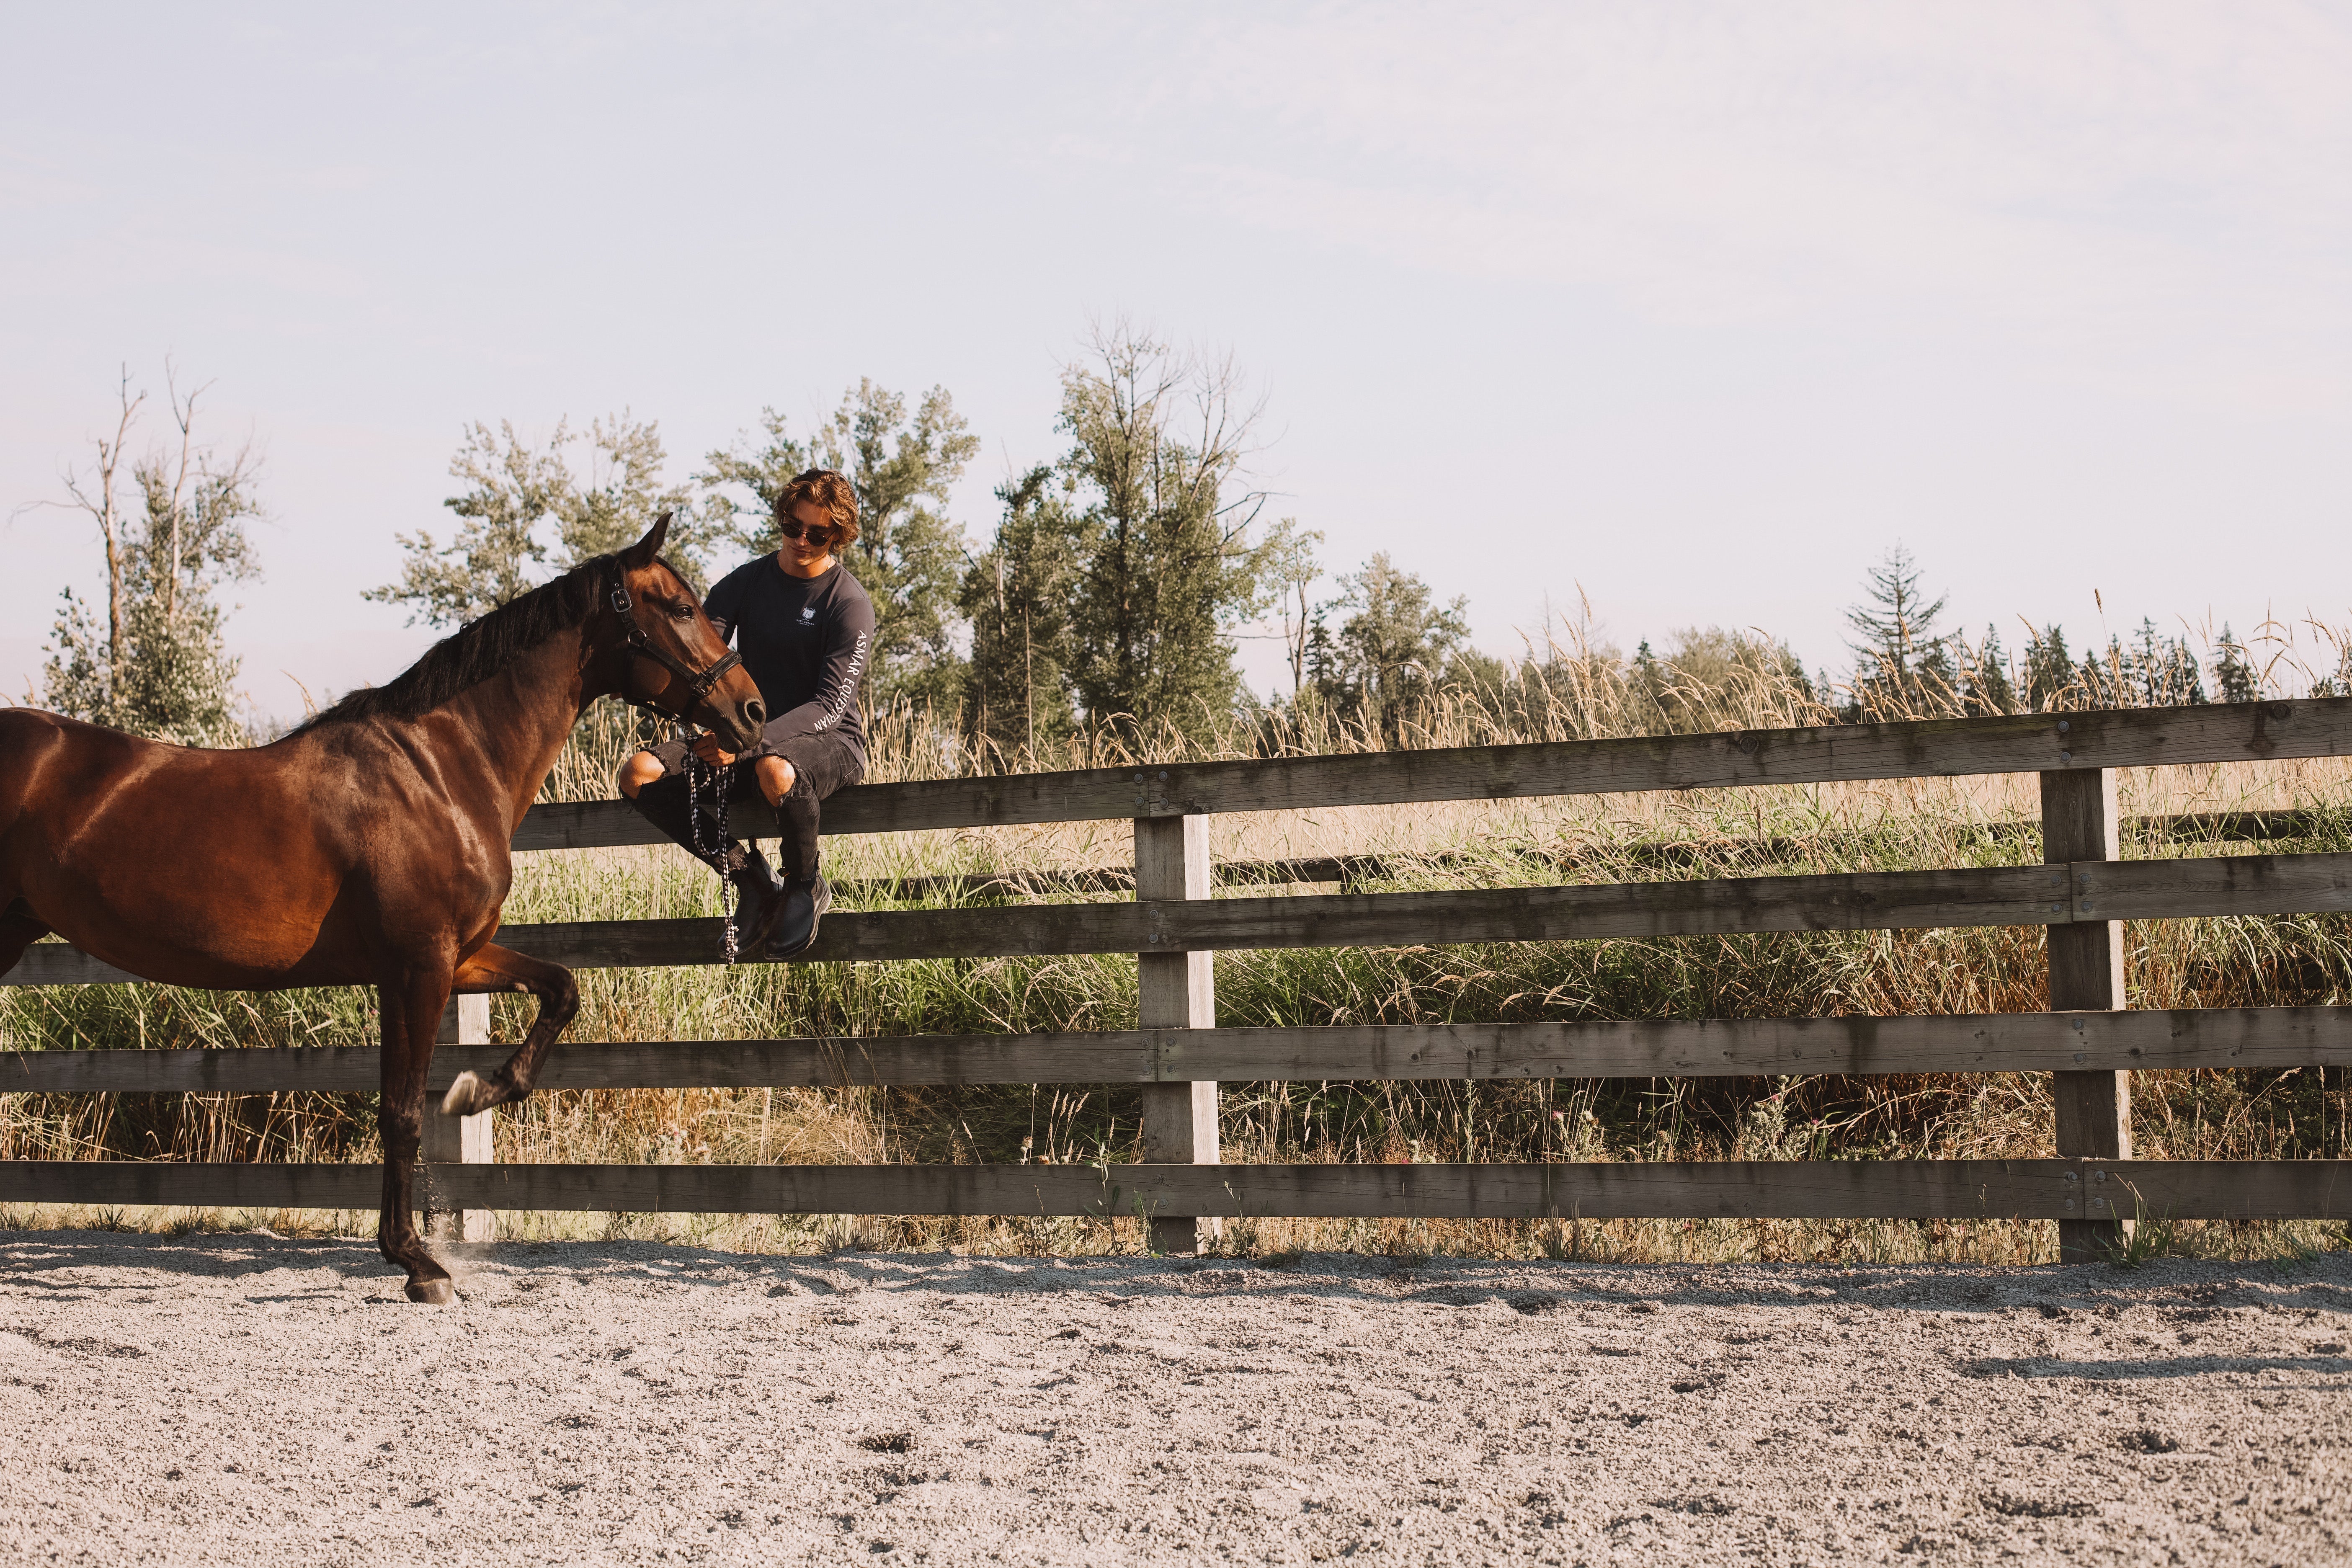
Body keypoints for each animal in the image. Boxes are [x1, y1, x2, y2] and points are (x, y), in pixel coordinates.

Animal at [0, 515, 761, 1302]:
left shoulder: (457, 958)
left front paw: (477, 1092)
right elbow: (399, 1112)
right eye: (679, 607)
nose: (751, 711)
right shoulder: (415, 966)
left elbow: (560, 990)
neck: (439, 771)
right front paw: (417, 1261)